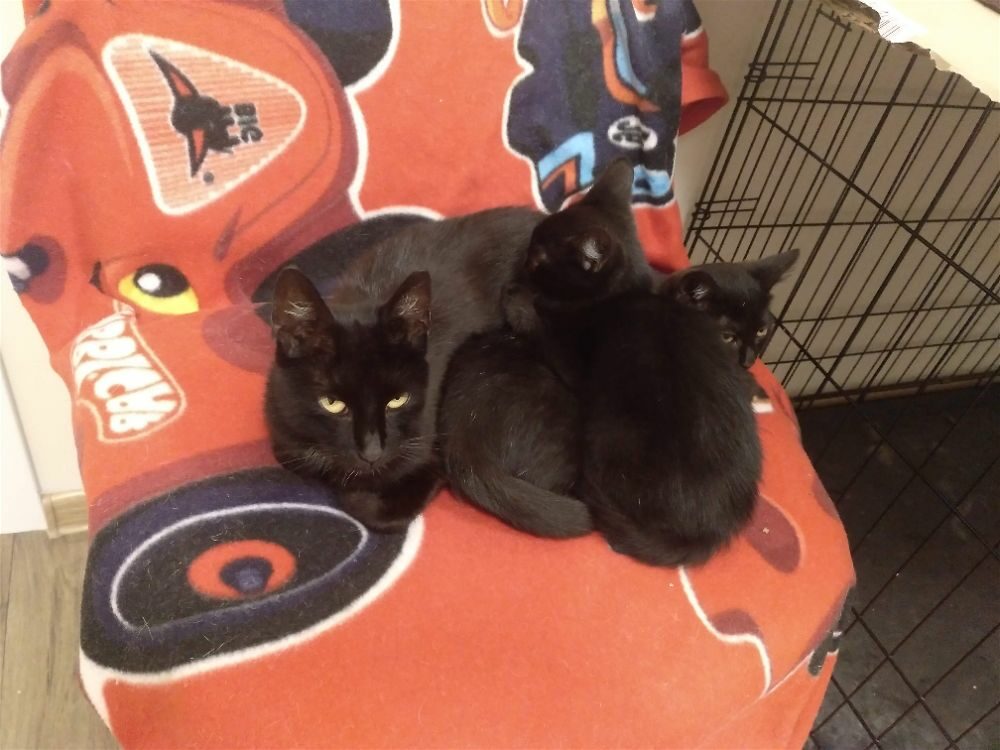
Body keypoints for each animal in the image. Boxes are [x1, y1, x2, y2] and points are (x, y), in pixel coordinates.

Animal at [265, 207, 542, 533]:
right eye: (332, 403)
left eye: (397, 400)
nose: (372, 452)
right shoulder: (284, 436)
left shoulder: (429, 448)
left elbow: (378, 506)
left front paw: (355, 491)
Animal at [439, 159, 651, 538]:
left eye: (538, 259)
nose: (522, 263)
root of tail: (469, 450)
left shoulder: (575, 365)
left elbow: (541, 326)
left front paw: (520, 299)